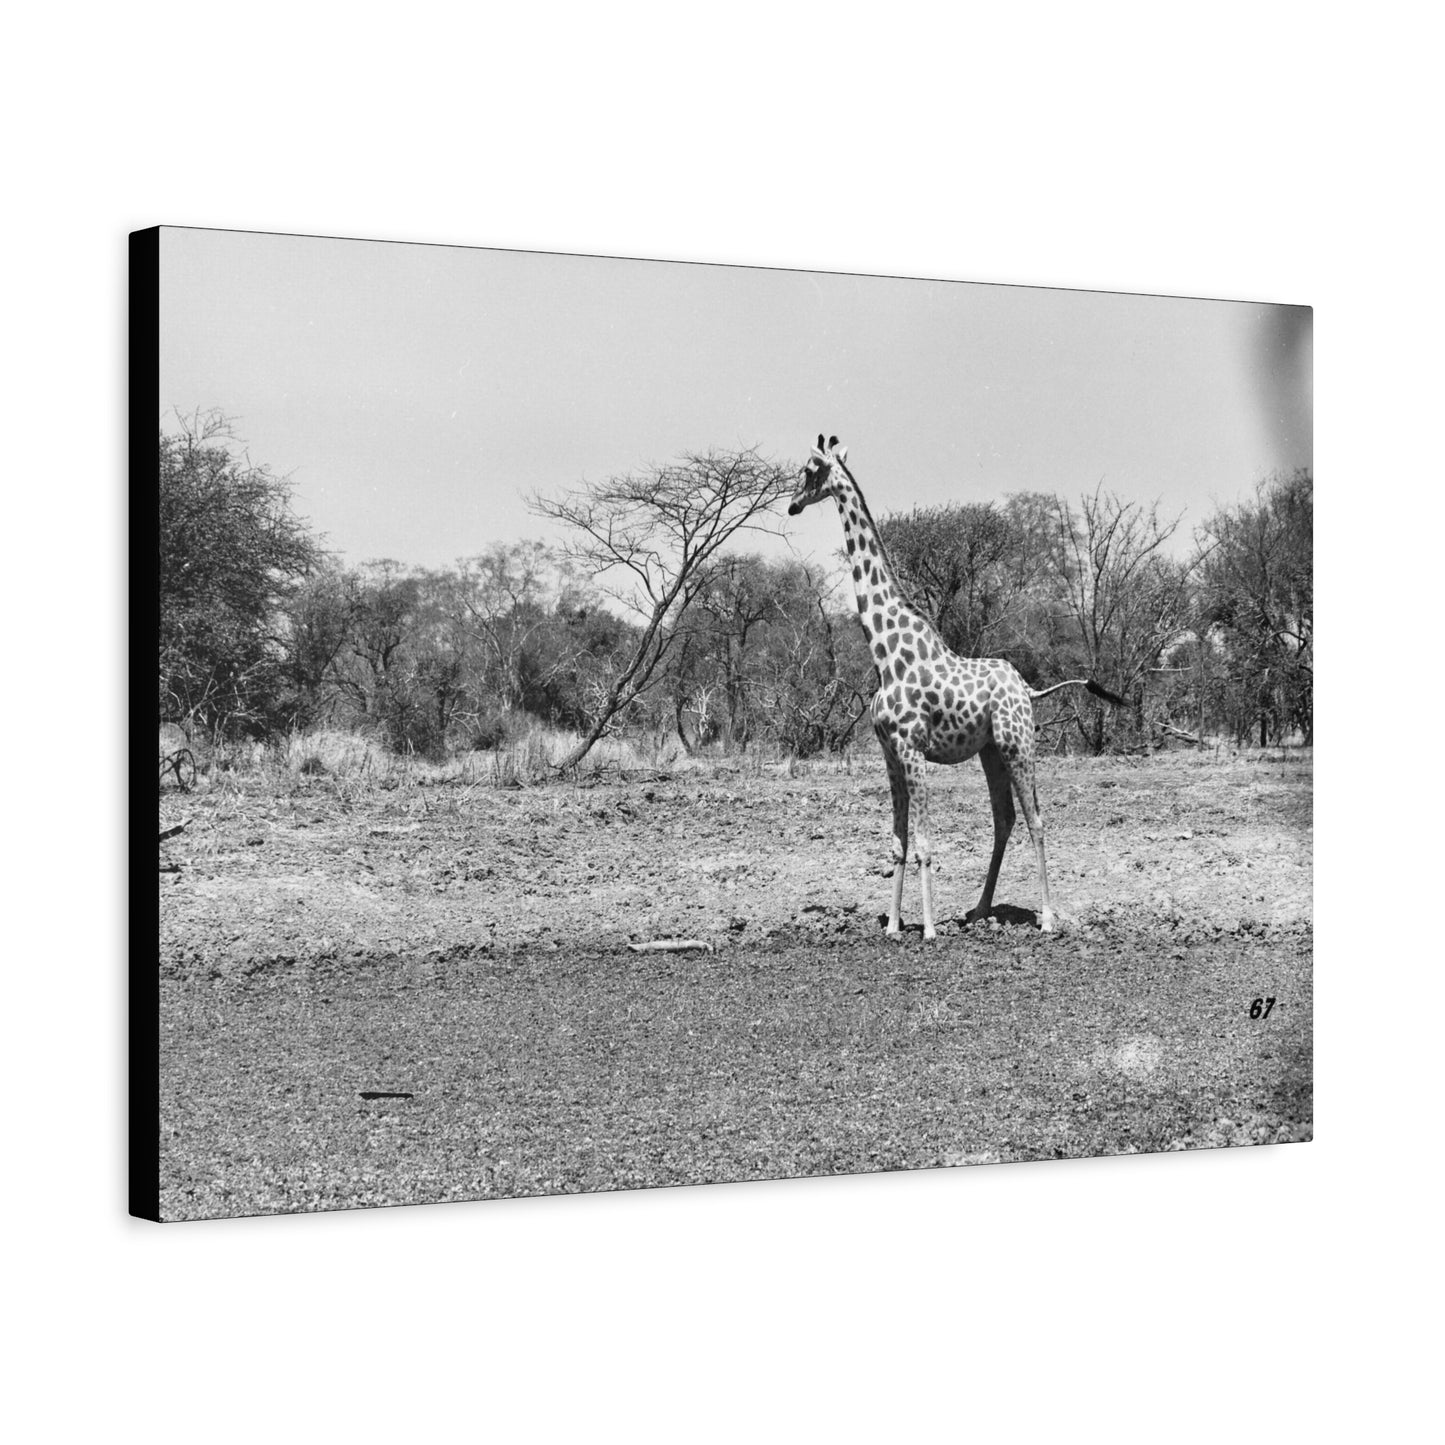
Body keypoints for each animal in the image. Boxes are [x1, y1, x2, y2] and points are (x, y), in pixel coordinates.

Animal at [787, 435, 1124, 937]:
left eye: (810, 469)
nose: (792, 505)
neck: (885, 655)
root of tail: (1028, 690)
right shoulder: (890, 755)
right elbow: (898, 842)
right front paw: (892, 926)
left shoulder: (912, 750)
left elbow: (925, 843)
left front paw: (927, 930)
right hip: (991, 751)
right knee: (1004, 819)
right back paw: (980, 909)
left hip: (1018, 744)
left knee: (1037, 820)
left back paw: (1046, 918)